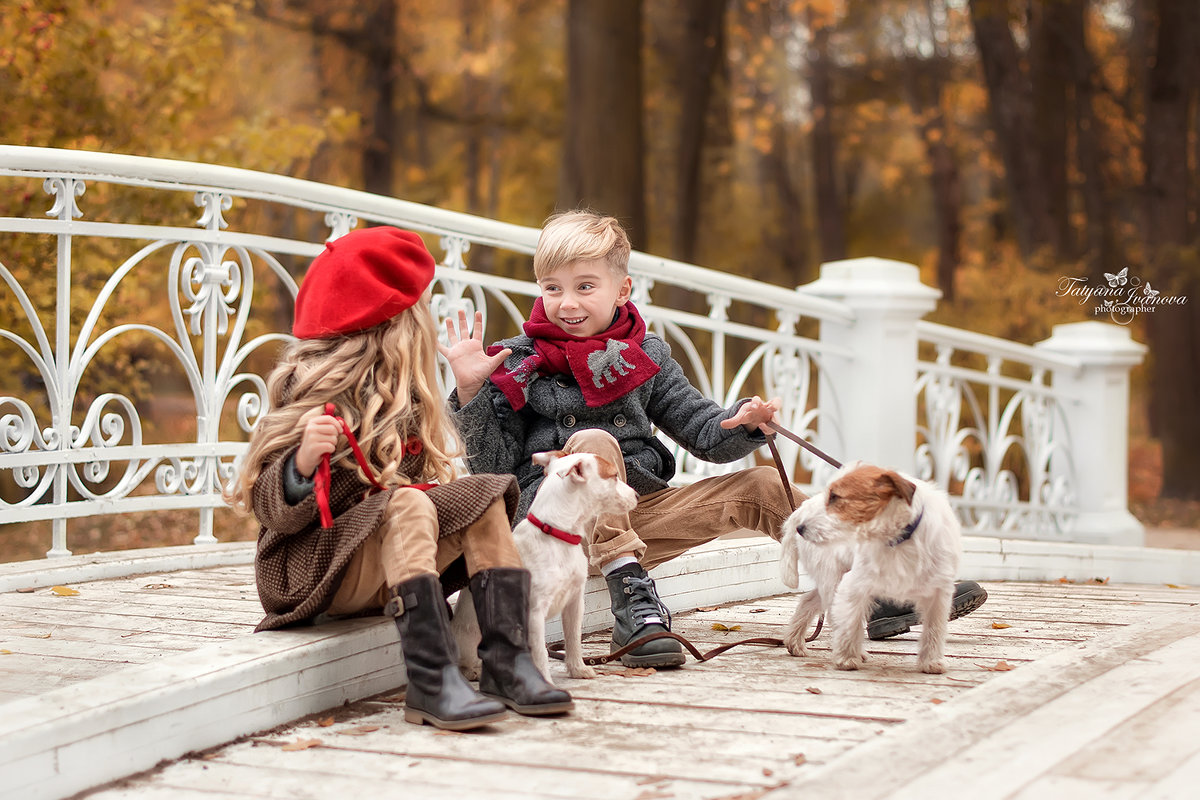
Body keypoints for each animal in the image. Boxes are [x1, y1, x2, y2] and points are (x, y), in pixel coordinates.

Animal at [451, 450, 638, 681]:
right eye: (613, 476)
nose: (637, 496)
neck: (556, 535)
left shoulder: (575, 602)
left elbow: (573, 639)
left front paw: (578, 669)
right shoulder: (534, 613)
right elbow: (541, 653)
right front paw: (546, 681)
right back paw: (475, 671)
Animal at [777, 462, 964, 676]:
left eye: (835, 497)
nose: (801, 529)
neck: (900, 539)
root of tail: (801, 510)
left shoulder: (938, 593)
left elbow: (935, 628)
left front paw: (931, 662)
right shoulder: (854, 585)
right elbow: (849, 623)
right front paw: (847, 658)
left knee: (808, 601)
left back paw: (794, 642)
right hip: (833, 579)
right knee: (833, 615)